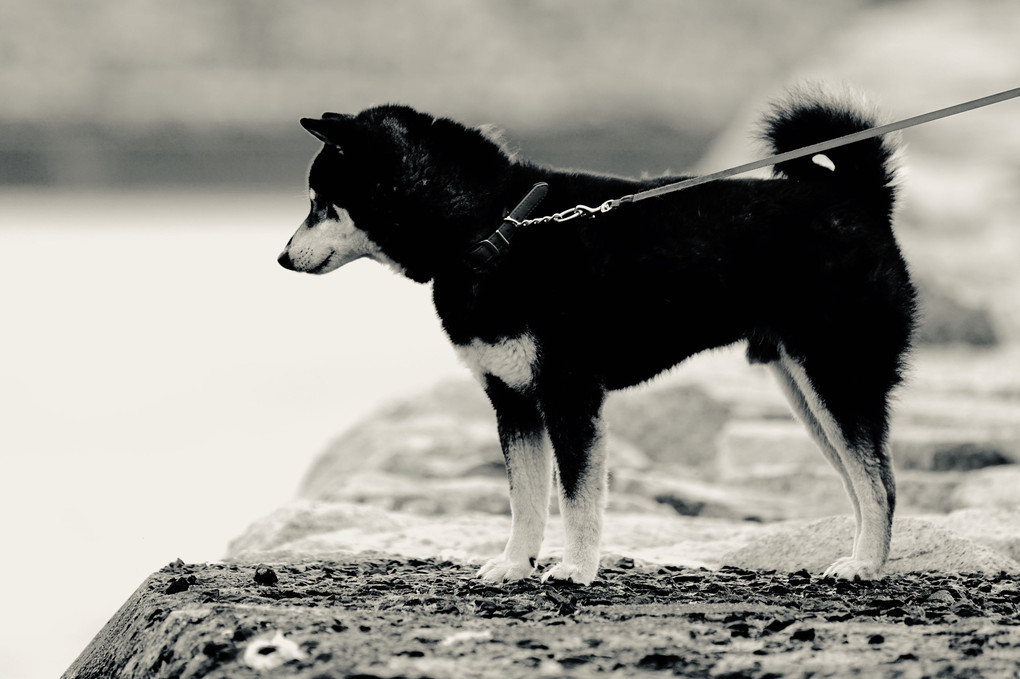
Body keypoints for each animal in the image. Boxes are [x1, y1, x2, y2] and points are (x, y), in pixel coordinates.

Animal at [277, 89, 918, 583]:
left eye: (318, 202)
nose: (281, 258)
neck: (494, 229)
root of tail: (856, 198)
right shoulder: (513, 400)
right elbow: (526, 501)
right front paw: (515, 566)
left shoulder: (568, 394)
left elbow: (577, 499)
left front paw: (576, 569)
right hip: (807, 392)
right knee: (863, 482)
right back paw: (861, 557)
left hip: (837, 376)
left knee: (880, 483)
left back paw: (865, 566)